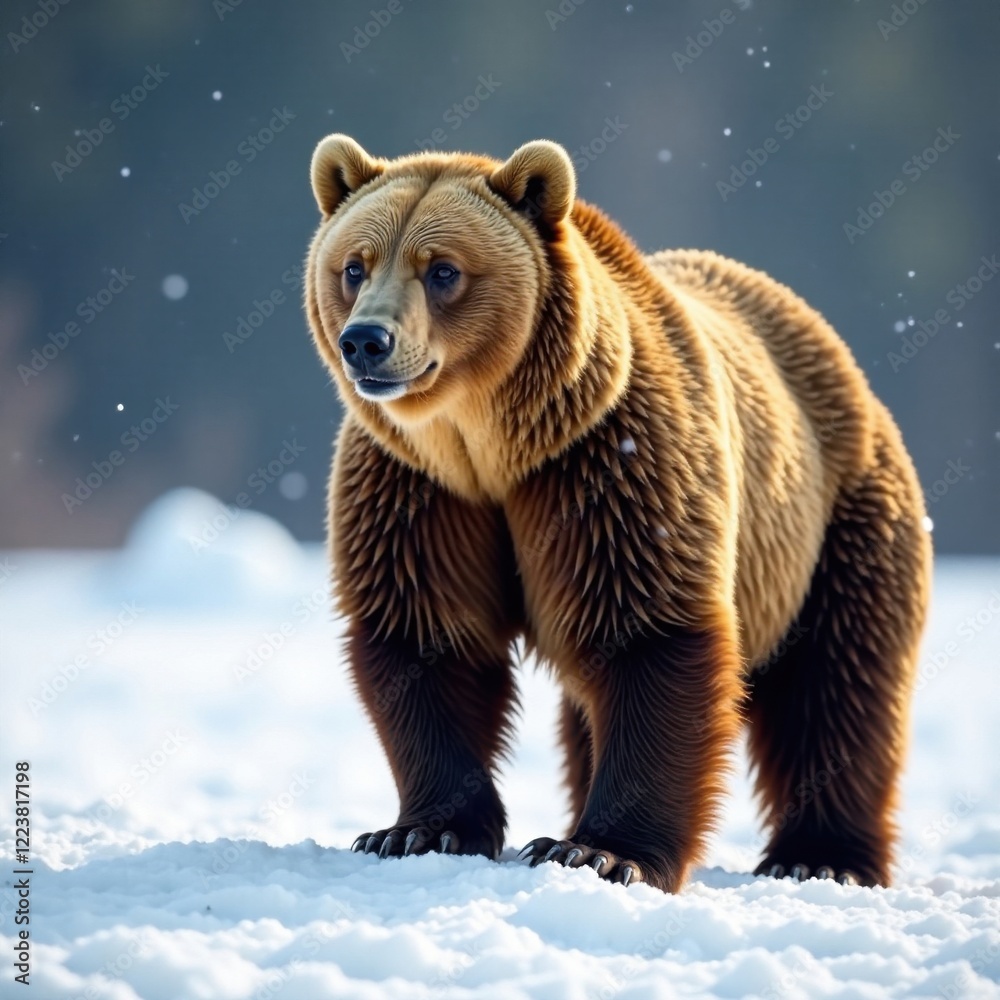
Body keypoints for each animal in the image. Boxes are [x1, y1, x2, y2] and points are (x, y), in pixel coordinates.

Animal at [304, 134, 932, 892]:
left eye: (444, 269)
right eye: (354, 265)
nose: (367, 340)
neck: (491, 448)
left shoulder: (608, 465)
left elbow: (647, 638)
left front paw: (601, 850)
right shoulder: (417, 488)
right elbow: (427, 638)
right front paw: (417, 830)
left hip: (838, 520)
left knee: (836, 683)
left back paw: (822, 856)